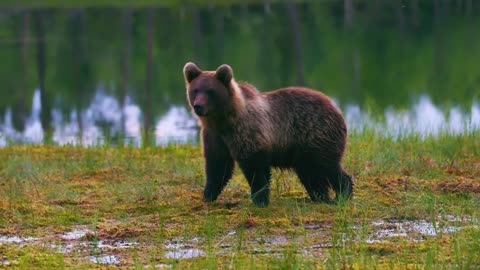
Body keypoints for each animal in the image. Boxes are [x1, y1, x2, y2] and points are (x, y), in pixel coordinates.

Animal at [184, 62, 352, 207]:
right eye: (195, 90)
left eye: (210, 91)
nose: (198, 106)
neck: (224, 120)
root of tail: (335, 108)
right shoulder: (214, 135)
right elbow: (217, 165)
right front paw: (208, 195)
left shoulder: (247, 132)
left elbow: (255, 167)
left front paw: (260, 199)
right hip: (303, 149)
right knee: (310, 172)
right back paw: (321, 197)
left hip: (316, 134)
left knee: (325, 166)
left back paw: (343, 193)